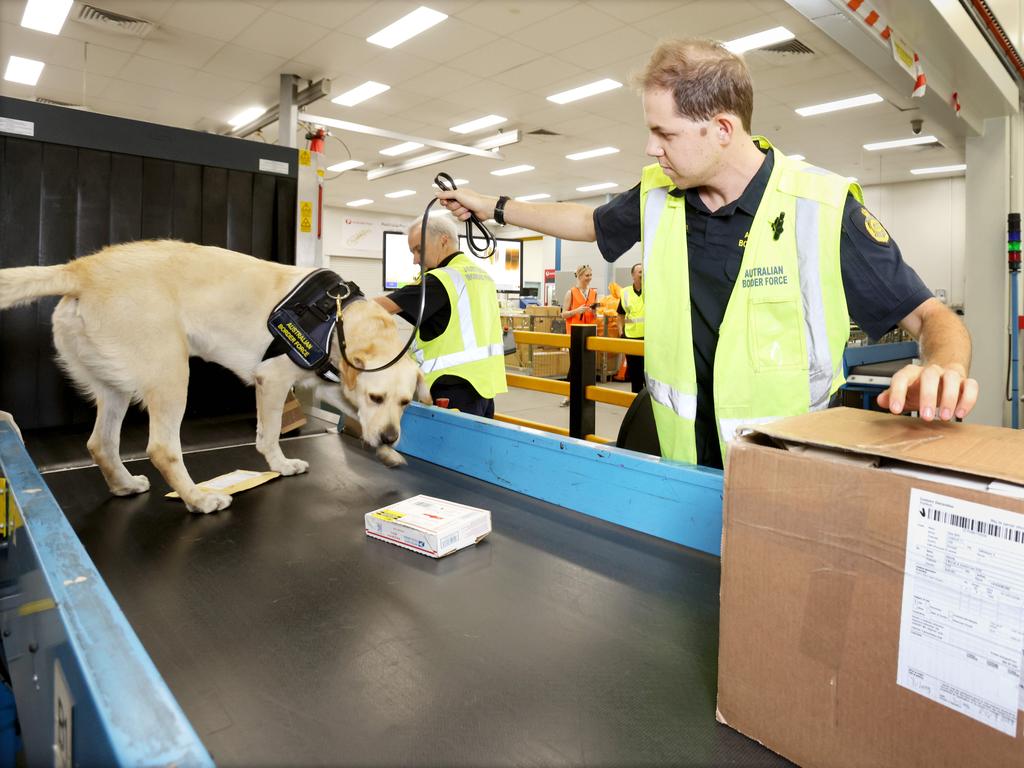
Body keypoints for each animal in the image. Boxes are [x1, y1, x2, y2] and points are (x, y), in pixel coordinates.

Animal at [0, 243, 428, 514]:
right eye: (376, 397)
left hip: (114, 387)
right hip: (172, 375)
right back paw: (198, 500)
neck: (338, 317)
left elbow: (352, 415)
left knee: (100, 444)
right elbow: (269, 436)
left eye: (405, 403)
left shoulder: (332, 385)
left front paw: (386, 451)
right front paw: (281, 465)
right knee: (162, 448)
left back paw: (124, 485)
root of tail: (82, 269)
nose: (390, 437)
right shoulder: (273, 381)